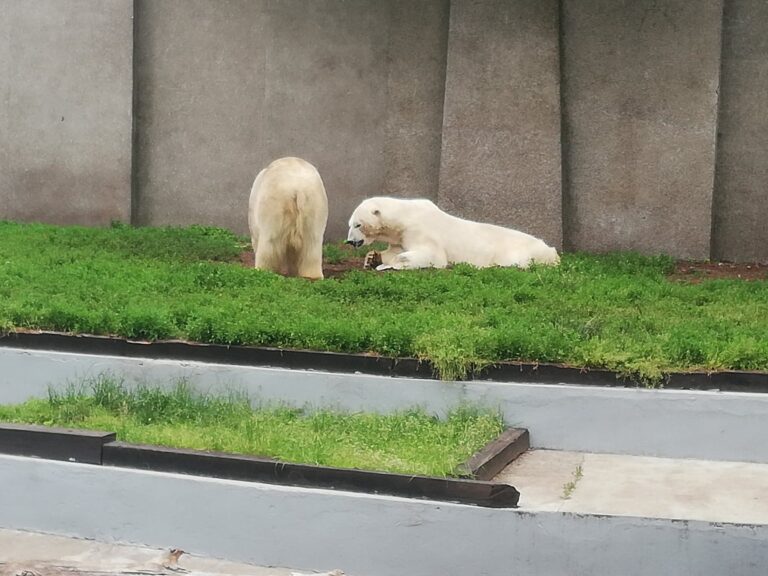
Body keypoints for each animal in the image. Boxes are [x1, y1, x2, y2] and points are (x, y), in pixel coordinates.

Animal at [346, 197, 560, 272]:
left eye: (358, 224)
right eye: (350, 224)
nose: (350, 241)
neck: (405, 216)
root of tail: (552, 251)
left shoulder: (419, 230)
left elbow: (434, 255)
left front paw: (391, 264)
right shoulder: (400, 237)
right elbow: (393, 250)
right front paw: (372, 258)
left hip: (518, 250)